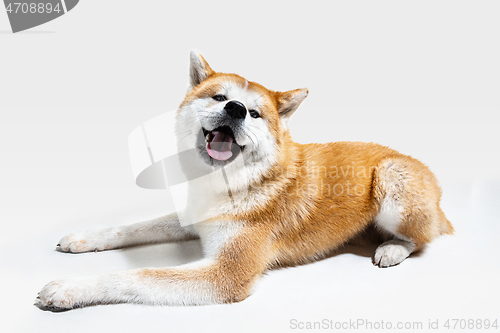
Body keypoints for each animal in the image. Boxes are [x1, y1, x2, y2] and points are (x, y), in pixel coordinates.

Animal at [35, 50, 454, 310]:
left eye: (254, 113)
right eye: (219, 97)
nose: (235, 109)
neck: (231, 184)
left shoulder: (225, 275)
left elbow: (137, 275)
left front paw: (71, 288)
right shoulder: (195, 217)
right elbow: (135, 227)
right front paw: (86, 237)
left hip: (392, 177)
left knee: (423, 238)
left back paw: (393, 248)